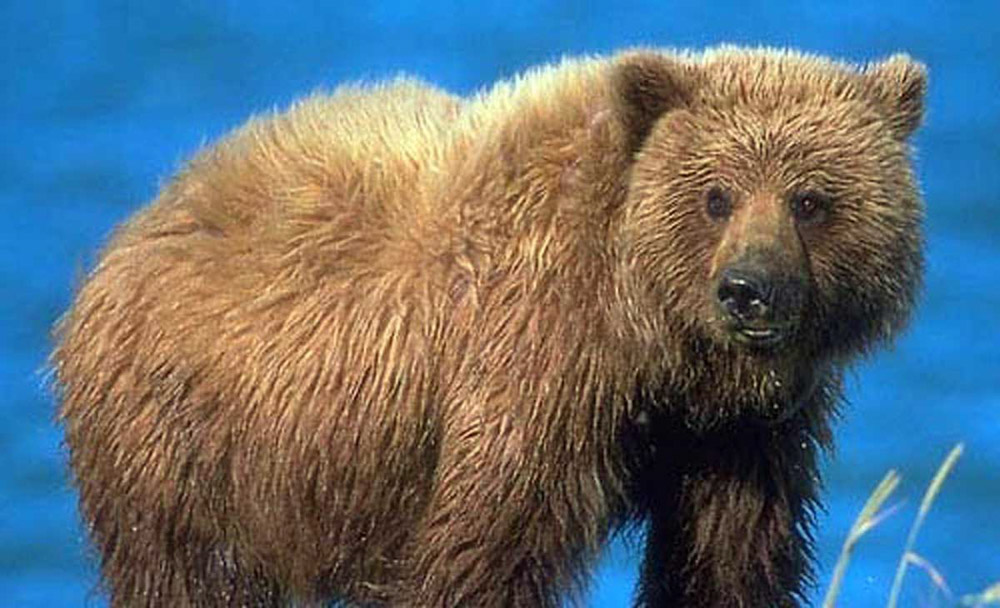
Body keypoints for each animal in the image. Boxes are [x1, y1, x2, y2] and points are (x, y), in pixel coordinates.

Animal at [52, 46, 926, 607]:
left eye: (811, 200)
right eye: (716, 195)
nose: (748, 291)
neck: (650, 335)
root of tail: (143, 216)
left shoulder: (739, 436)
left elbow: (730, 557)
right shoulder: (530, 357)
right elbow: (484, 547)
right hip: (189, 438)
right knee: (191, 574)